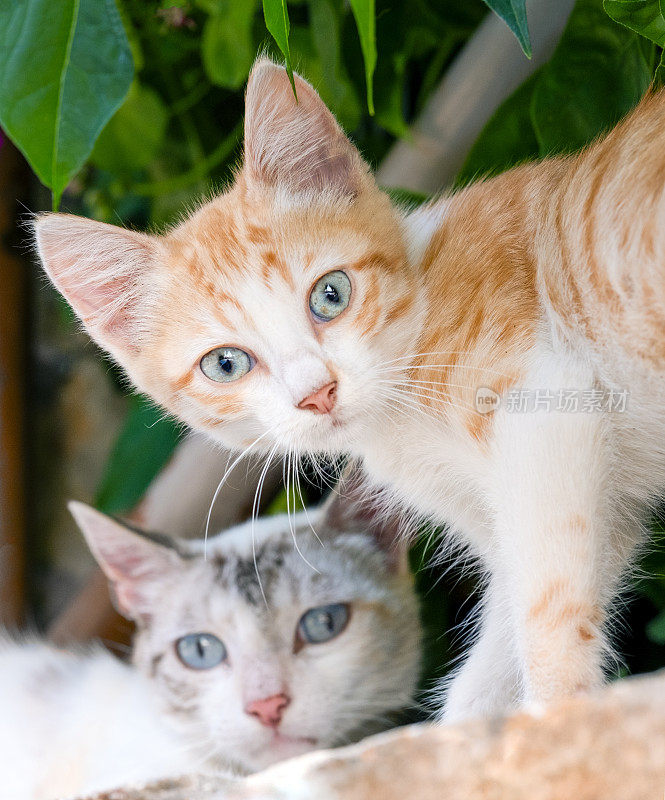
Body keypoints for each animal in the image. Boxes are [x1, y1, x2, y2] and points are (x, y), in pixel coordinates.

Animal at [33, 59, 664, 720]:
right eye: (225, 364)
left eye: (330, 295)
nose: (318, 393)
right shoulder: (579, 512)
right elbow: (504, 633)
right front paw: (471, 724)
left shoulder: (547, 401)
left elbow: (547, 602)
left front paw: (560, 715)